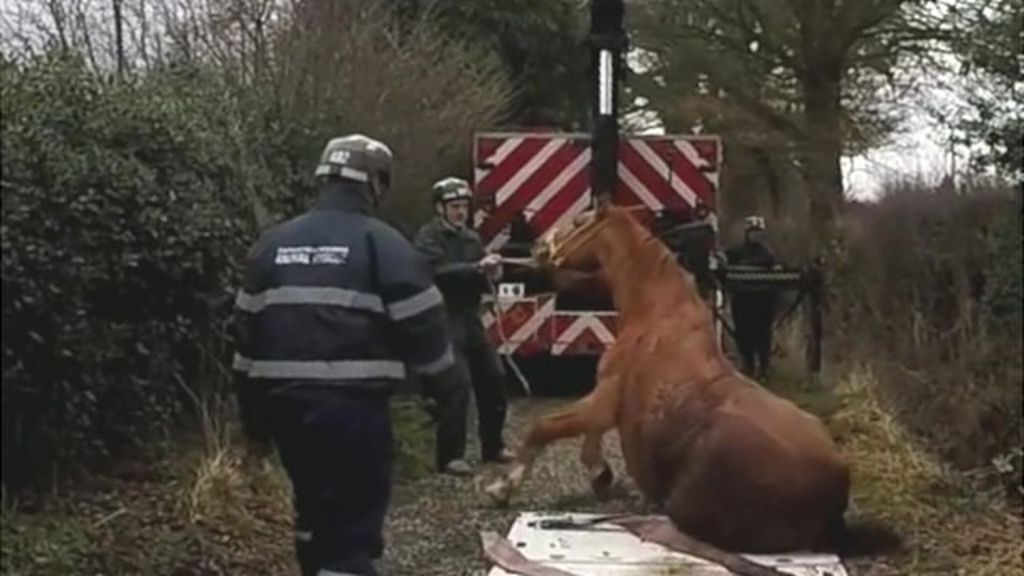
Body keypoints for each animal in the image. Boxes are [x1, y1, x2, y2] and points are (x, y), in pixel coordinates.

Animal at [483, 203, 851, 553]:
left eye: (578, 223)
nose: (537, 247)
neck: (654, 314)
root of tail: (836, 485)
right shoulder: (607, 403)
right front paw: (600, 474)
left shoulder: (605, 398)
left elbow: (544, 427)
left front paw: (503, 487)